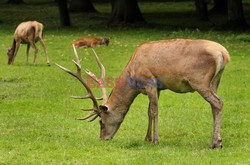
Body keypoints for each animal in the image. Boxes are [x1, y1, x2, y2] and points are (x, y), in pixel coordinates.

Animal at [57, 39, 230, 150]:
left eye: (101, 121)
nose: (103, 139)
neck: (133, 77)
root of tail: (224, 53)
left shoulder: (150, 81)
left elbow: (154, 111)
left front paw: (155, 140)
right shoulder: (157, 88)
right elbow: (148, 111)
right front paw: (147, 138)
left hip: (199, 80)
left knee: (218, 102)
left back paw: (213, 144)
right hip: (215, 81)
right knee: (216, 105)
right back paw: (219, 140)